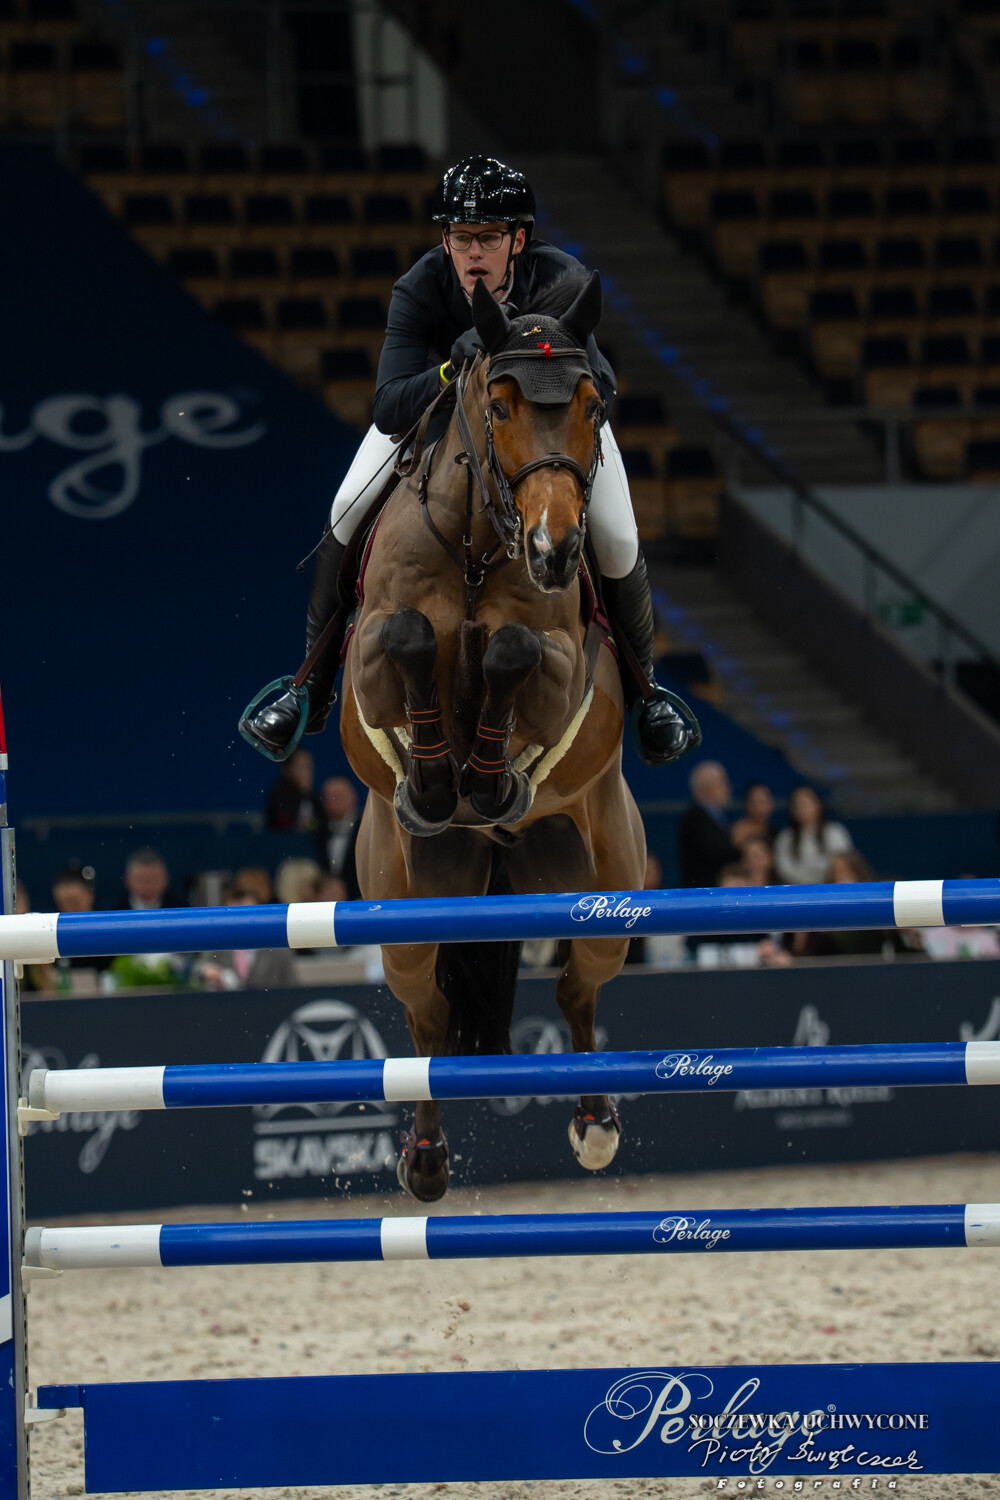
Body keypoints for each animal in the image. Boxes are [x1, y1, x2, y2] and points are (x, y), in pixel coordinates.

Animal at [340, 271, 647, 1202]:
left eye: (593, 403)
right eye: (499, 403)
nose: (554, 550)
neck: (479, 547)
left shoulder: (563, 664)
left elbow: (513, 651)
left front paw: (485, 774)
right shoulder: (370, 662)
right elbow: (408, 638)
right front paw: (440, 778)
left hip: (600, 885)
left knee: (579, 988)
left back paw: (595, 1125)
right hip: (404, 907)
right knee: (428, 1020)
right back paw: (425, 1160)